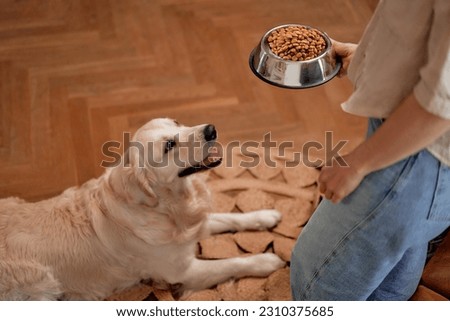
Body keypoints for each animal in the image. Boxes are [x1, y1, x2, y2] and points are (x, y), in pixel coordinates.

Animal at [0, 118, 284, 300]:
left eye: (177, 122)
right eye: (169, 146)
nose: (211, 130)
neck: (165, 206)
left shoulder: (193, 225)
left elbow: (227, 218)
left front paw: (263, 216)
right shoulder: (182, 272)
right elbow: (230, 263)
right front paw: (265, 261)